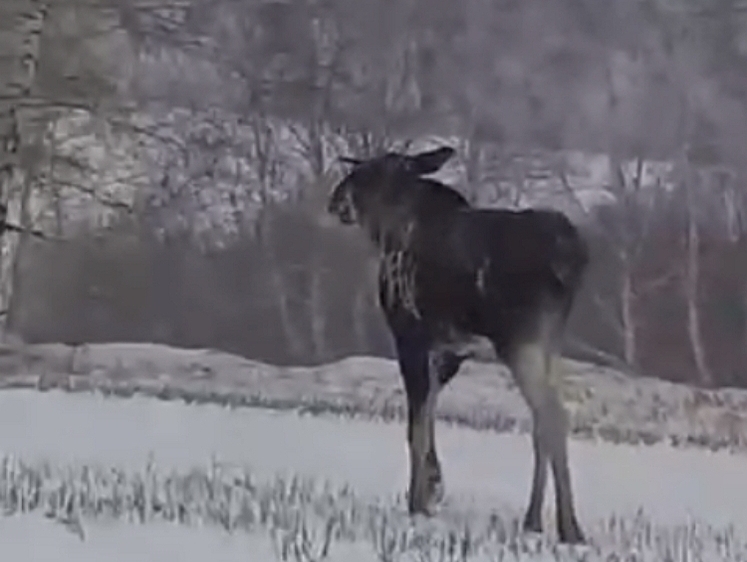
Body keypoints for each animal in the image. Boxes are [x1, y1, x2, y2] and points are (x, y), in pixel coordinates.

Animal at [328, 145, 592, 544]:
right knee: (542, 421)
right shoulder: (452, 350)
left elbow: (416, 424)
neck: (387, 234)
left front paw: (417, 501)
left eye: (368, 174)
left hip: (519, 340)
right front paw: (434, 485)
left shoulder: (410, 336)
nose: (336, 200)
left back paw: (569, 525)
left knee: (552, 415)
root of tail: (570, 258)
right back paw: (533, 518)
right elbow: (431, 408)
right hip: (550, 341)